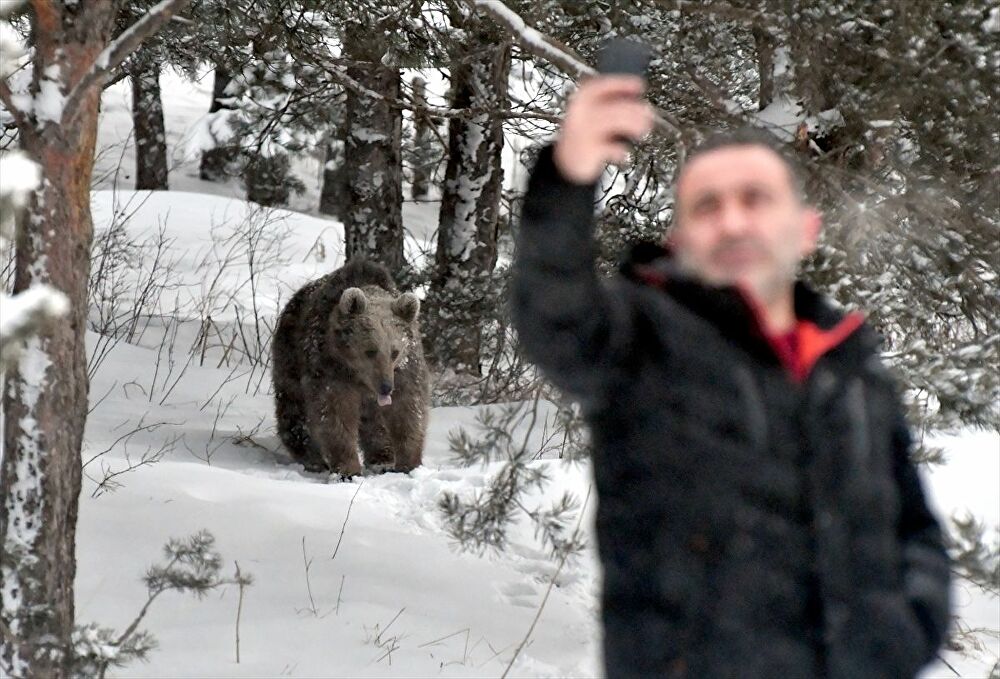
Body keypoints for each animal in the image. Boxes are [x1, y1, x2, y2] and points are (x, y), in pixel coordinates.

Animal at [274, 258, 430, 478]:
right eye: (370, 350)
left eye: (395, 351)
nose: (385, 387)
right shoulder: (329, 367)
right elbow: (334, 413)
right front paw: (347, 469)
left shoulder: (405, 369)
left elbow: (408, 409)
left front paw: (409, 463)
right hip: (290, 356)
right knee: (292, 406)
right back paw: (311, 458)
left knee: (374, 421)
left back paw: (382, 458)